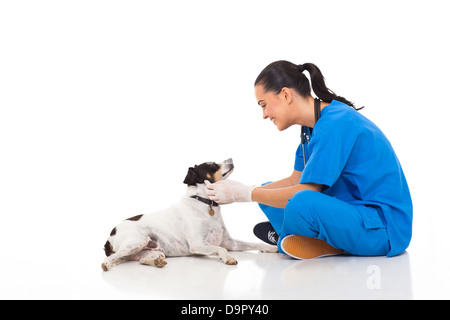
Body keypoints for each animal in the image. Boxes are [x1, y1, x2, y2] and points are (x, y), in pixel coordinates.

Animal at [102, 158, 278, 270]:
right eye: (211, 165)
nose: (231, 158)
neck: (205, 204)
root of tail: (110, 235)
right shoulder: (198, 244)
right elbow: (221, 250)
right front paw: (228, 258)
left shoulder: (230, 243)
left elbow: (254, 243)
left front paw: (271, 248)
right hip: (135, 242)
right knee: (109, 259)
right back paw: (106, 265)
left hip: (152, 250)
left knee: (143, 260)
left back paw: (157, 263)